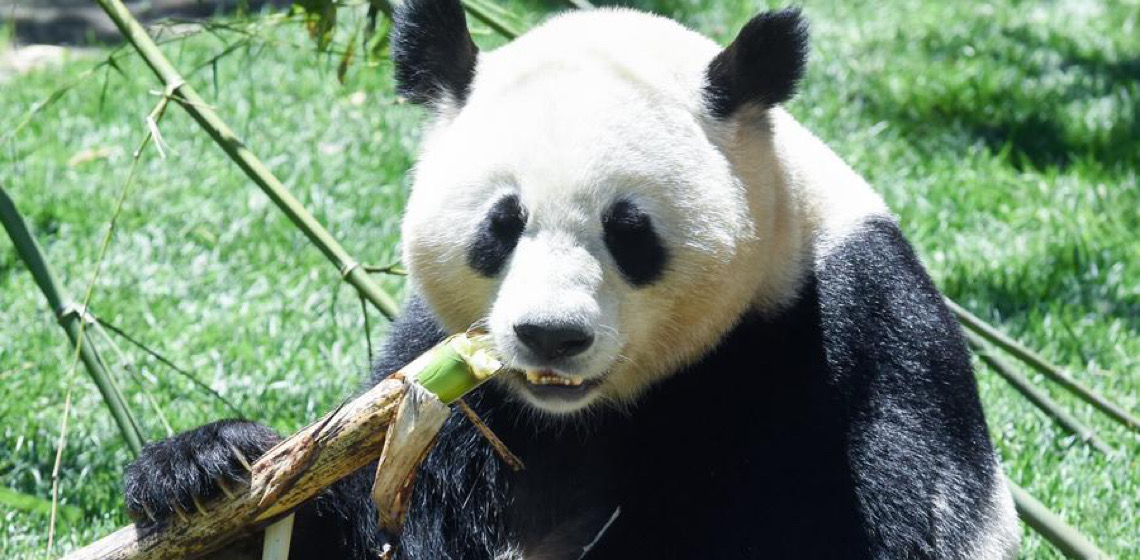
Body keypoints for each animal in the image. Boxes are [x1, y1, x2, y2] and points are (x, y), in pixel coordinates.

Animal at [122, 2, 1026, 558]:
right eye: (502, 224)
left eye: (630, 233)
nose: (550, 336)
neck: (584, 415)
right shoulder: (447, 384)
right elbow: (366, 518)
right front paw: (203, 467)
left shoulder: (841, 340)